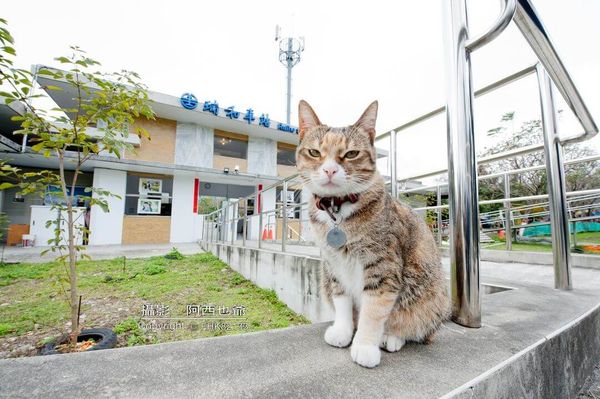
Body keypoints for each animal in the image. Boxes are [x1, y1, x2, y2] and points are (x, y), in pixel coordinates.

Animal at [296, 101, 450, 368]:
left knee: (413, 326)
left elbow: (374, 309)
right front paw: (343, 331)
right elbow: (342, 300)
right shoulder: (333, 265)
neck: (339, 211)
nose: (329, 170)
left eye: (351, 154)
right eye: (314, 152)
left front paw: (365, 346)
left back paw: (391, 337)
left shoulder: (383, 265)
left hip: (430, 297)